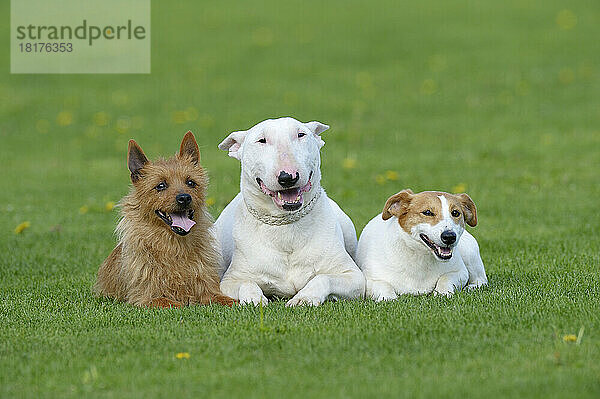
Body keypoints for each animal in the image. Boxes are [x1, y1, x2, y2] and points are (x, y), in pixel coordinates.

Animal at [93, 133, 234, 308]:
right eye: (160, 185)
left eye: (191, 182)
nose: (184, 198)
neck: (175, 247)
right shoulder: (146, 298)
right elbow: (175, 304)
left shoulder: (208, 290)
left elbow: (227, 300)